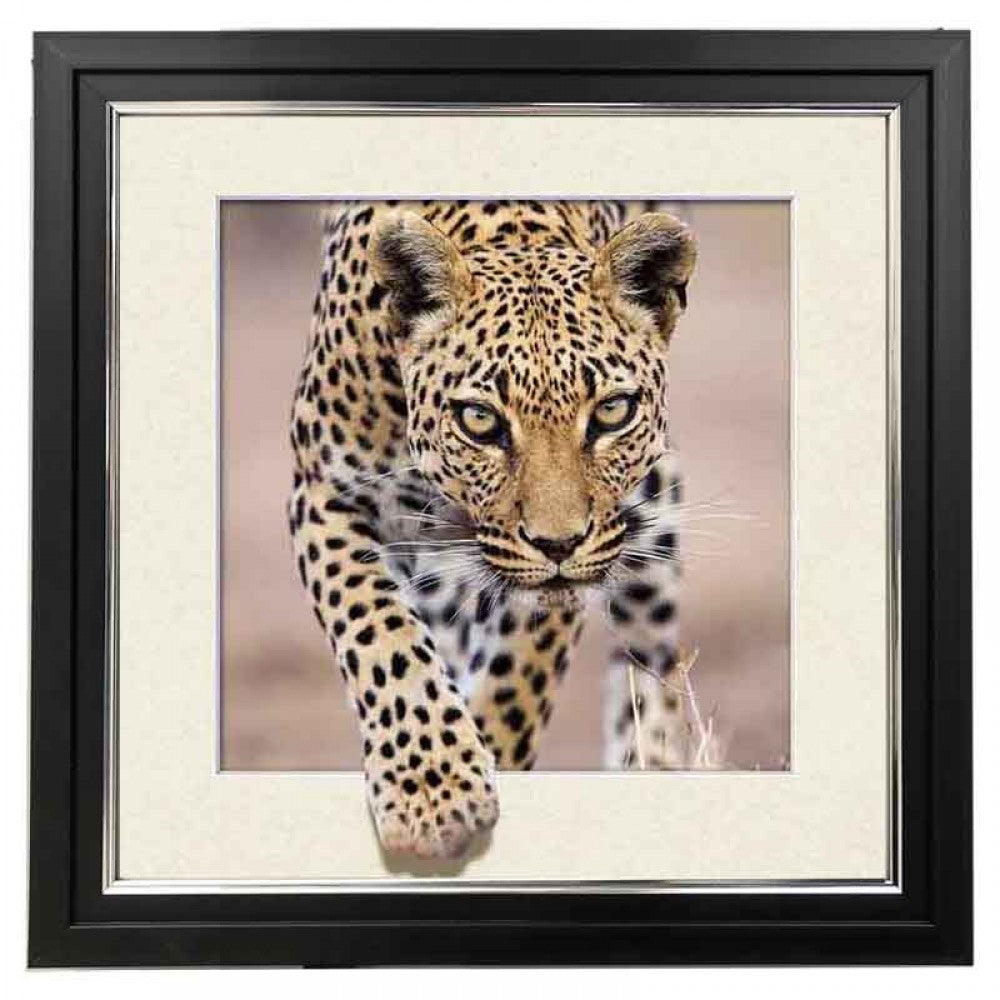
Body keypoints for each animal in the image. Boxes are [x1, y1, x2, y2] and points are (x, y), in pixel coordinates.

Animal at [288, 199, 697, 860]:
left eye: (612, 412)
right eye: (480, 420)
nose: (558, 543)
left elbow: (514, 684)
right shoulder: (326, 493)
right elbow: (381, 637)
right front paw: (433, 792)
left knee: (649, 660)